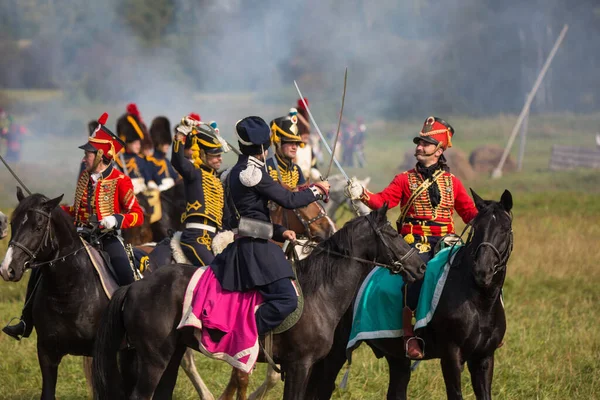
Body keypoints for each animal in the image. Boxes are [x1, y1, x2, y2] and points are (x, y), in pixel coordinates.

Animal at [91, 206, 424, 400]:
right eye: (392, 233)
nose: (420, 266)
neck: (320, 293)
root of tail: (135, 286)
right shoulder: (300, 365)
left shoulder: (305, 368)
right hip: (154, 360)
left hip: (170, 355)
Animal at [364, 191, 512, 400]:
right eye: (476, 228)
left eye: (505, 229)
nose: (482, 271)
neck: (480, 302)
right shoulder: (451, 356)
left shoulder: (484, 357)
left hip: (397, 358)